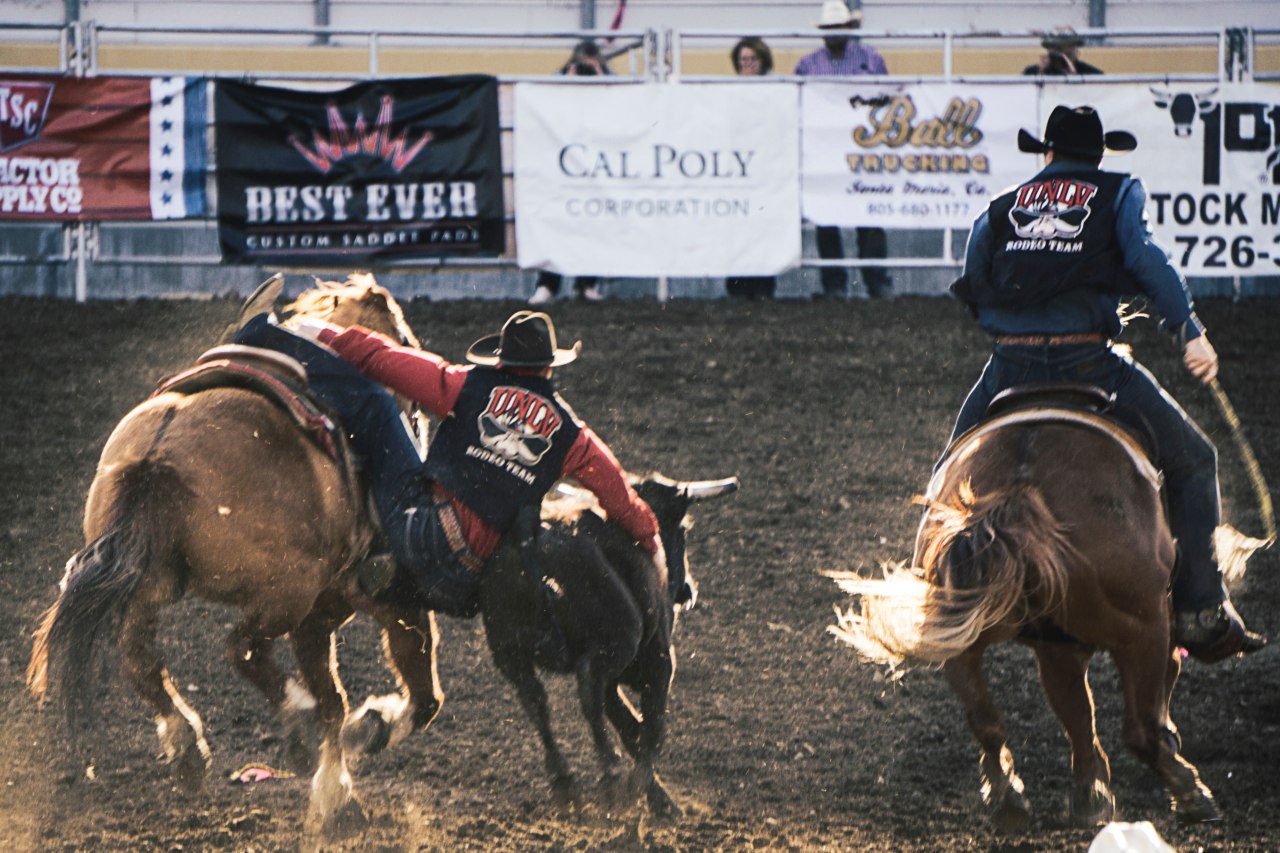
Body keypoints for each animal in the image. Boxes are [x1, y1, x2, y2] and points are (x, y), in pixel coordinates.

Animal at [24, 274, 442, 829]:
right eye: (404, 337)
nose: (420, 414)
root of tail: (157, 455)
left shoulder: (322, 612)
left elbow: (339, 696)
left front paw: (340, 780)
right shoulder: (366, 598)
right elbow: (407, 689)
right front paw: (357, 753)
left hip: (150, 587)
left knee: (143, 662)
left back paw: (189, 751)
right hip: (286, 591)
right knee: (241, 648)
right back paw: (294, 723)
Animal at [824, 407, 1254, 829]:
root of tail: (1018, 489)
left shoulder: (1056, 647)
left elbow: (1077, 716)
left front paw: (1091, 793)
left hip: (958, 632)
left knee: (986, 719)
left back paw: (1007, 797)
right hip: (1142, 625)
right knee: (1140, 729)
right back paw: (1190, 791)